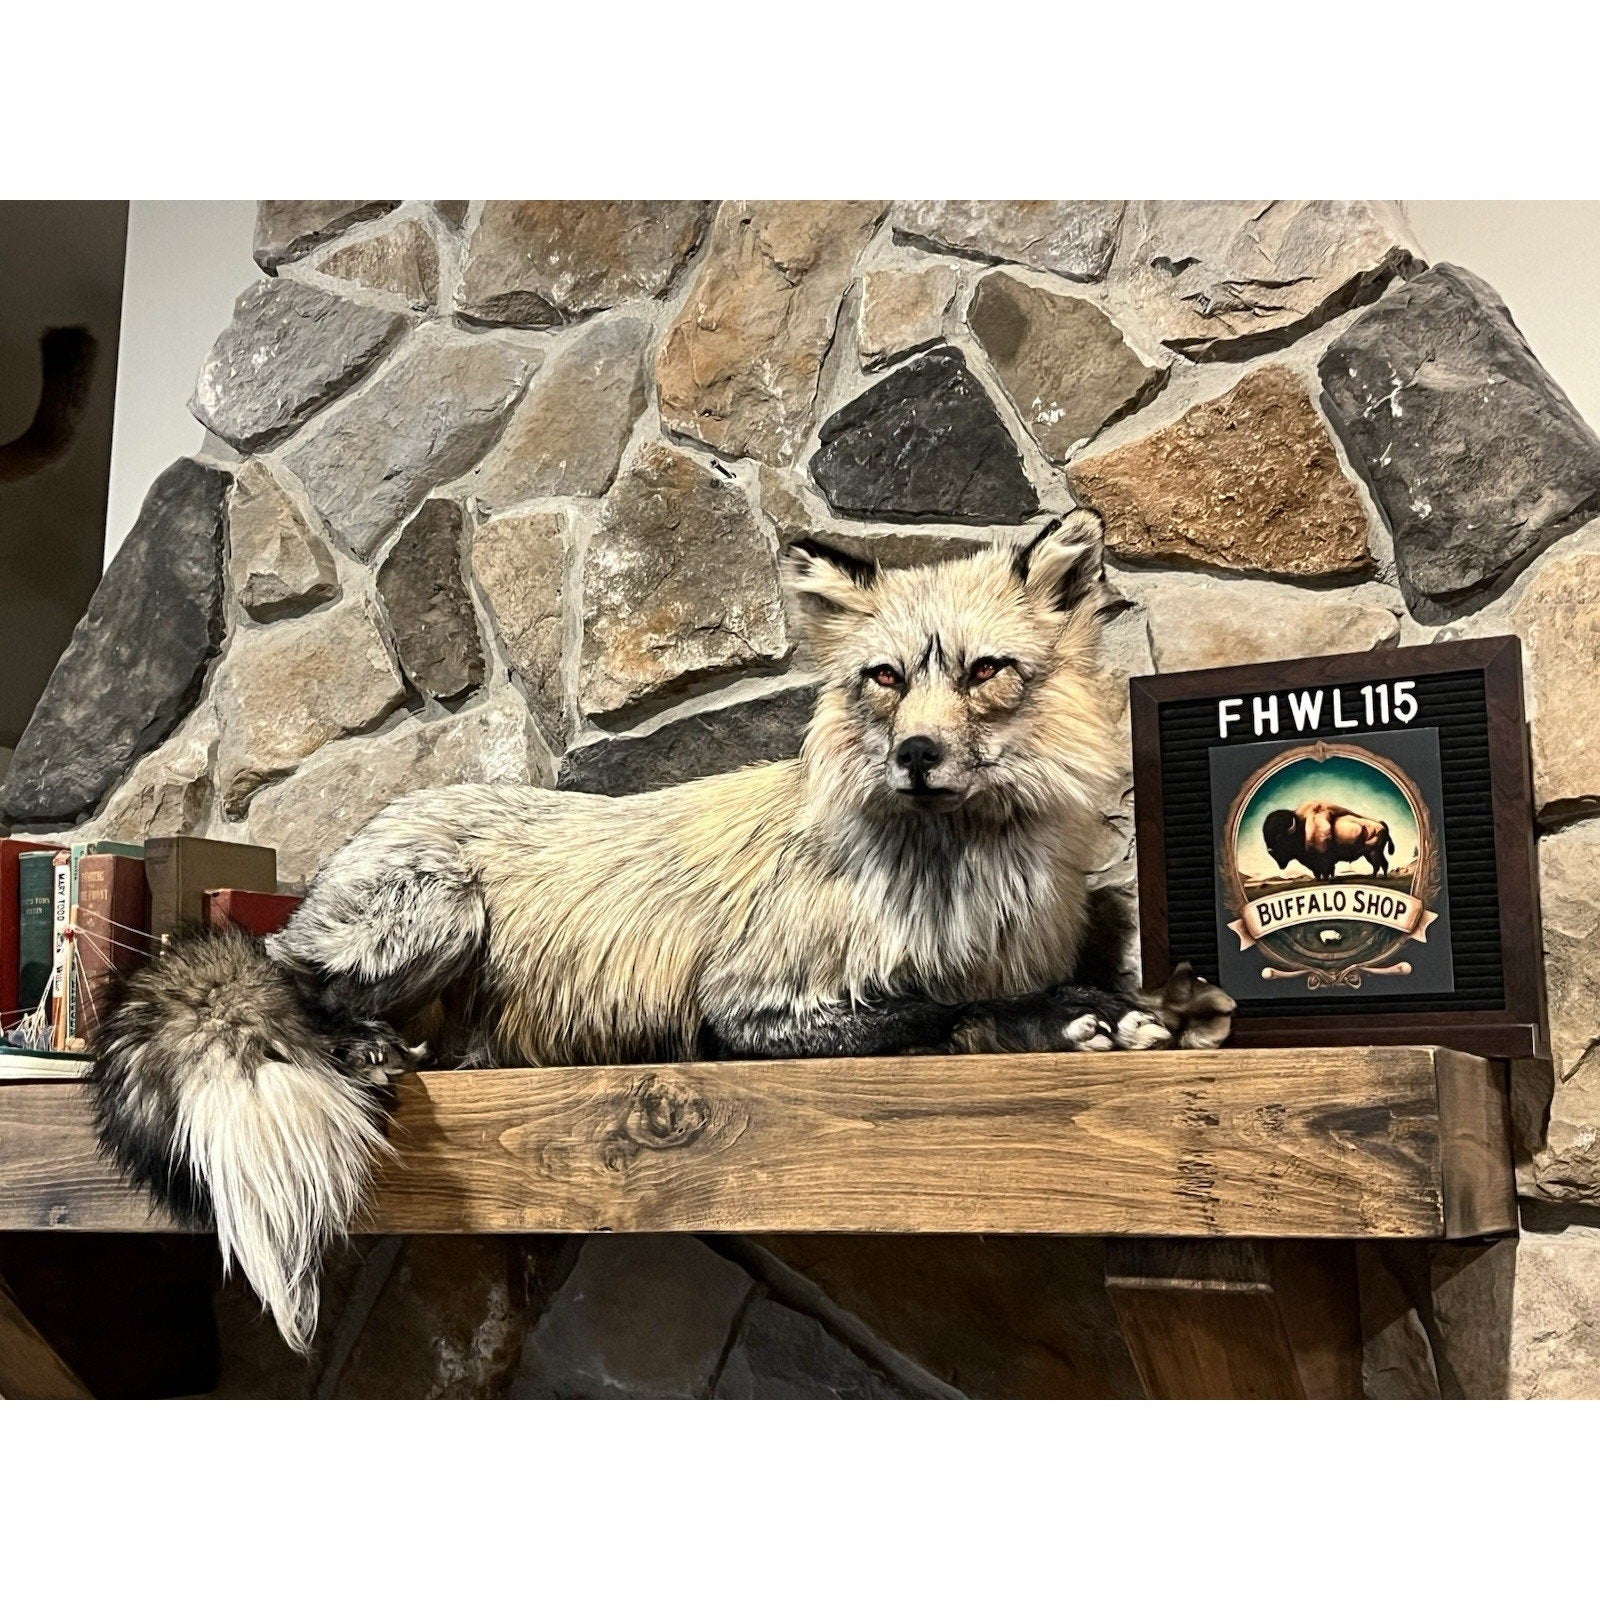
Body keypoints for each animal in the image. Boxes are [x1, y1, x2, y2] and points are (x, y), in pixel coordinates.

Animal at [90, 511, 1235, 1350]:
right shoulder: (747, 1011)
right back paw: (358, 1043)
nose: (915, 754)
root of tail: (358, 834)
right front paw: (1065, 1018)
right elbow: (939, 1008)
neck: (959, 880)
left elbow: (1016, 991)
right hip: (436, 910)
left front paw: (1150, 1010)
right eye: (886, 678)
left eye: (986, 671)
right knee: (288, 981)